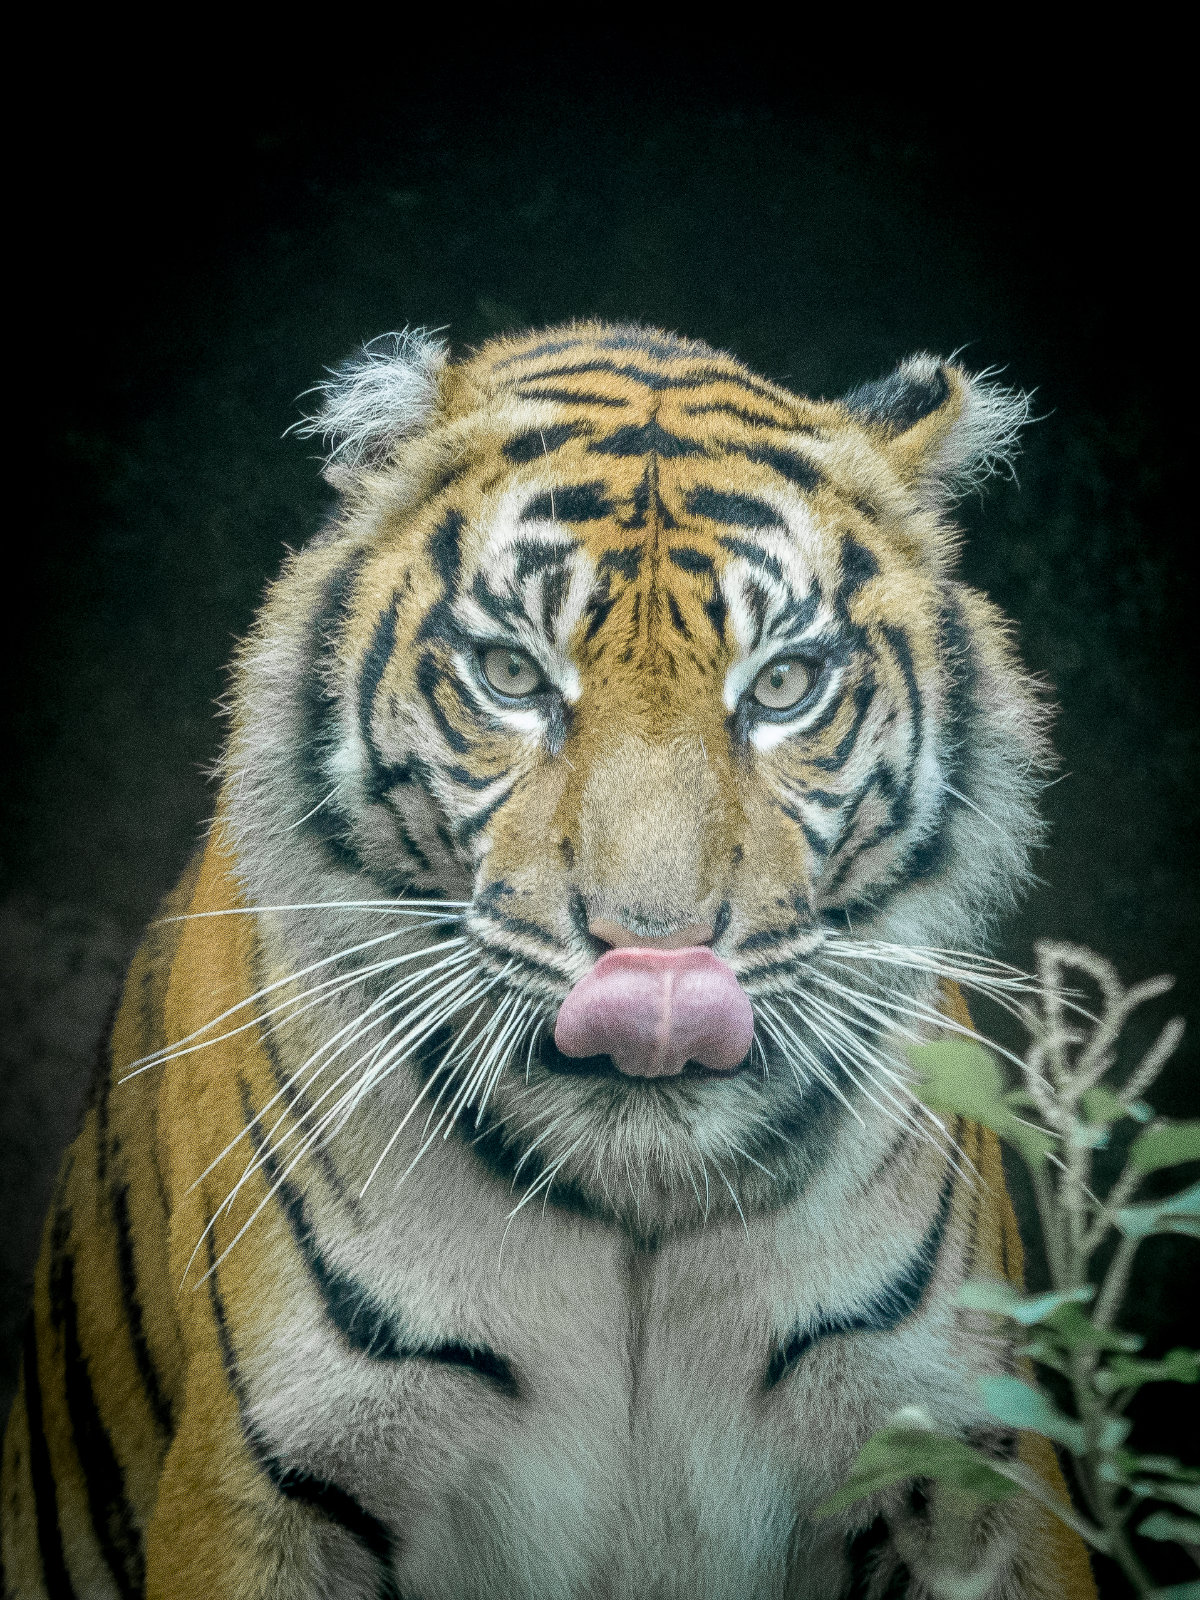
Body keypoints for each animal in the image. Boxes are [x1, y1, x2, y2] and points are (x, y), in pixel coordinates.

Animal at [1, 320, 1099, 1599]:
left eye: (783, 684)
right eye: (514, 677)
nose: (656, 960)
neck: (639, 1210)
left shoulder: (970, 1473)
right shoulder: (261, 1487)